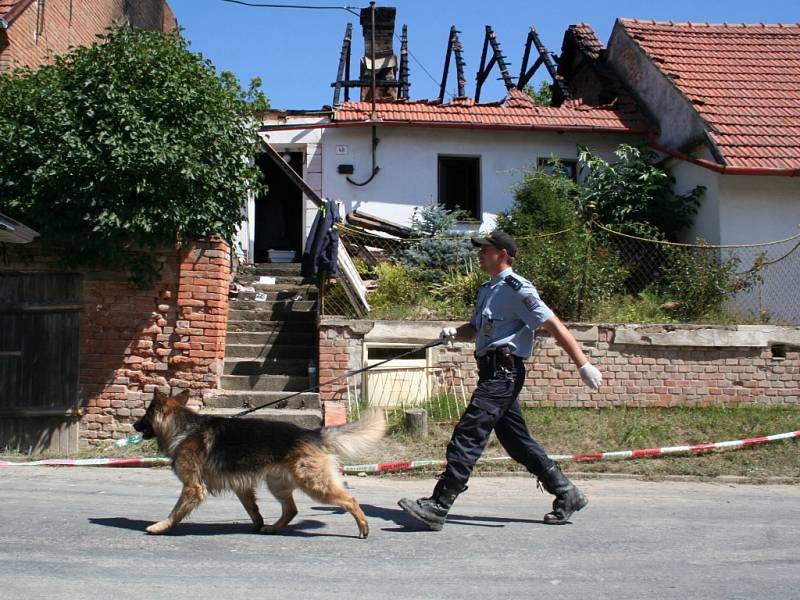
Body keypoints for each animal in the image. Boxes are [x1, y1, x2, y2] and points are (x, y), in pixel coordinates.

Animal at [133, 390, 386, 540]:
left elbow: (176, 512)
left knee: (350, 500)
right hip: (278, 485)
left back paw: (363, 528)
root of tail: (312, 433)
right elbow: (252, 509)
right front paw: (257, 523)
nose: (134, 425)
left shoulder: (192, 488)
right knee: (291, 510)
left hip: (314, 484)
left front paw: (160, 526)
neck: (183, 428)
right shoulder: (241, 486)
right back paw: (273, 527)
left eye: (144, 415)